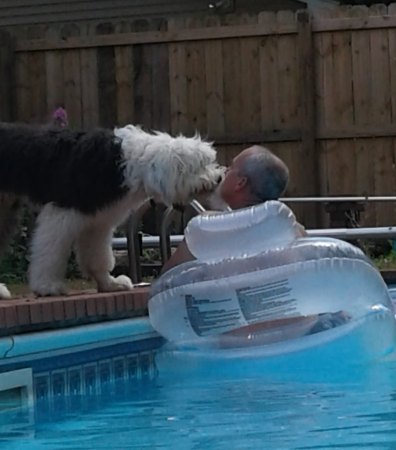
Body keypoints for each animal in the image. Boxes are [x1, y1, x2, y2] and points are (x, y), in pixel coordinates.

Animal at [0, 123, 223, 298]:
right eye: (201, 165)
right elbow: (50, 253)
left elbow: (98, 256)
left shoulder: (97, 223)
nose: (219, 177)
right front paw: (47, 286)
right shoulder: (62, 214)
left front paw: (110, 284)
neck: (131, 164)